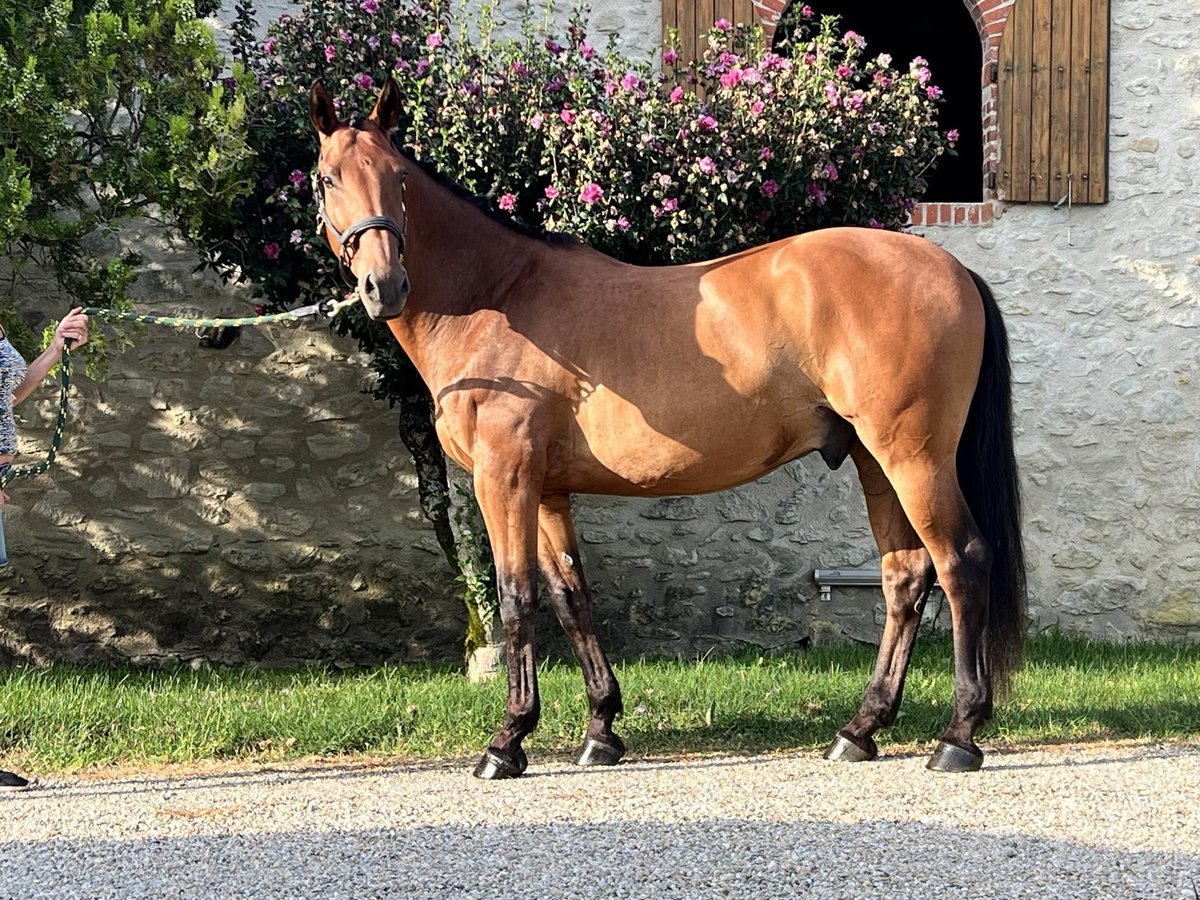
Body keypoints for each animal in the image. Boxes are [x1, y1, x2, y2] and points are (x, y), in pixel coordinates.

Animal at [312, 81, 1032, 777]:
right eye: (327, 178)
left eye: (398, 178)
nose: (383, 285)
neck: (497, 298)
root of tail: (951, 269)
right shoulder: (546, 490)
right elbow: (571, 595)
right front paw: (601, 730)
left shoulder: (505, 477)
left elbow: (517, 599)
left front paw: (507, 742)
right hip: (873, 460)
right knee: (905, 575)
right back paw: (859, 730)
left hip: (913, 457)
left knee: (961, 563)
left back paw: (958, 738)